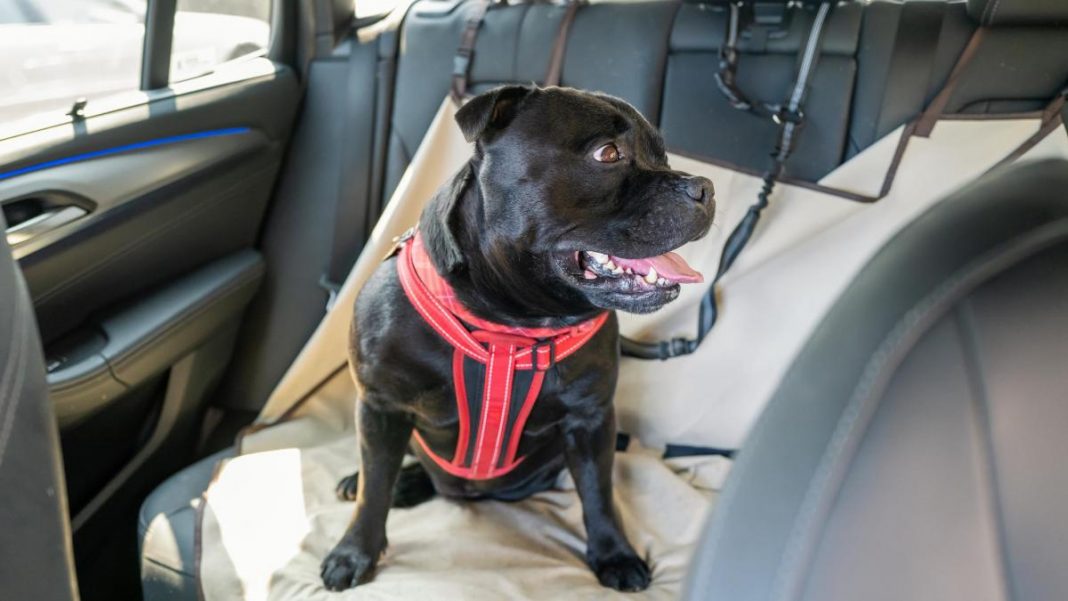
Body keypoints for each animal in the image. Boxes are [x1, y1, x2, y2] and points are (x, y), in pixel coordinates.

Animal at [320, 84, 713, 593]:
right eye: (607, 154)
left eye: (663, 156)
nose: (705, 187)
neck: (511, 324)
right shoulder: (380, 406)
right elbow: (373, 490)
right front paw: (354, 553)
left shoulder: (590, 420)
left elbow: (599, 493)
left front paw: (615, 554)